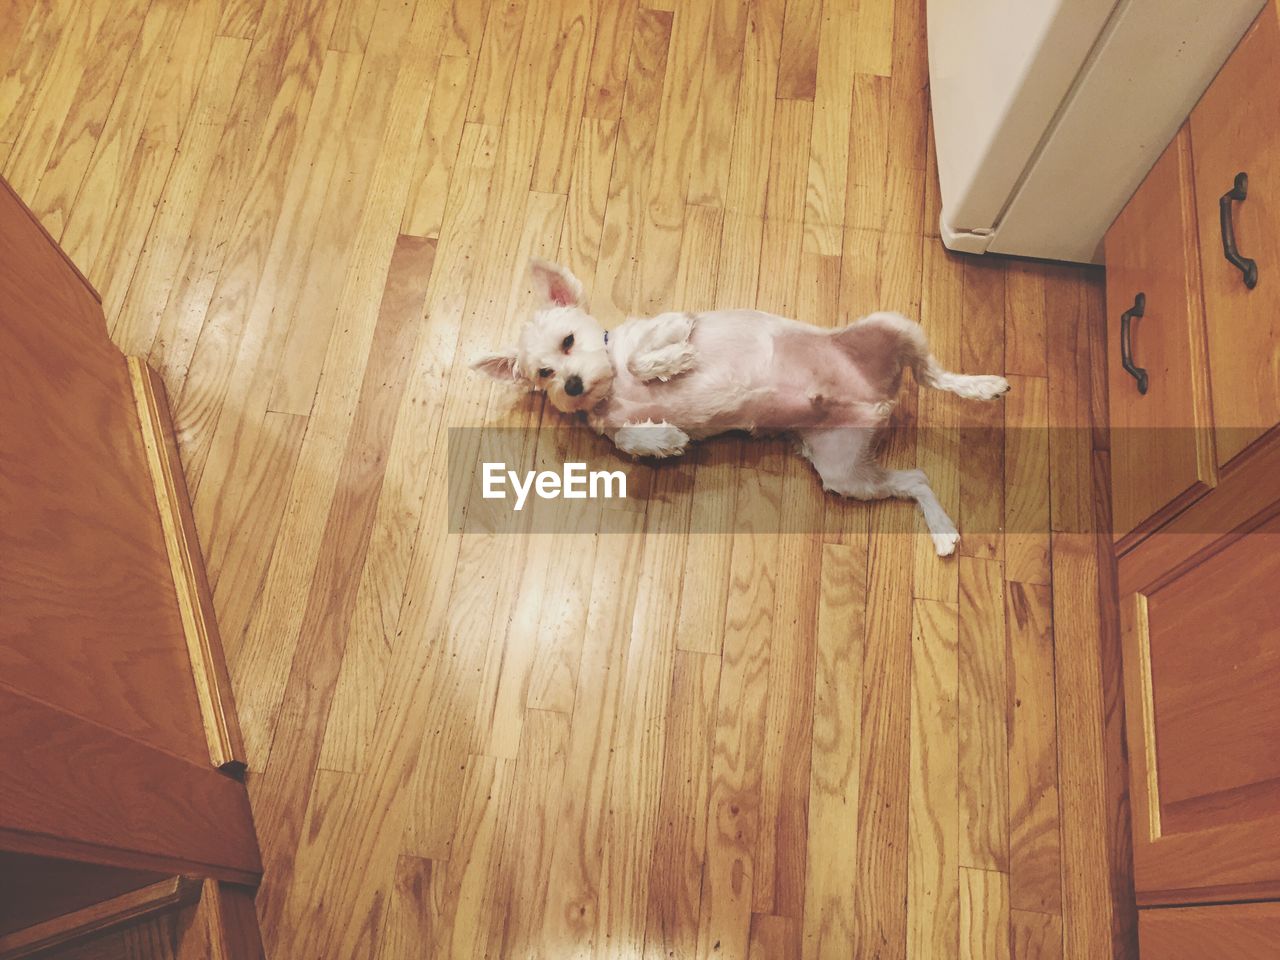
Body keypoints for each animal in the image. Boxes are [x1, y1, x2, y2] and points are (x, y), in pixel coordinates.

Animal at [473, 259, 1008, 555]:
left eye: (568, 341)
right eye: (543, 373)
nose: (573, 385)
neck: (610, 386)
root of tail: (876, 400)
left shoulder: (675, 320)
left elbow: (649, 353)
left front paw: (669, 362)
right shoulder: (613, 427)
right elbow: (629, 437)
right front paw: (665, 438)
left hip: (893, 324)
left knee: (935, 375)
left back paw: (984, 386)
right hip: (844, 470)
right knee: (915, 478)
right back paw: (941, 530)